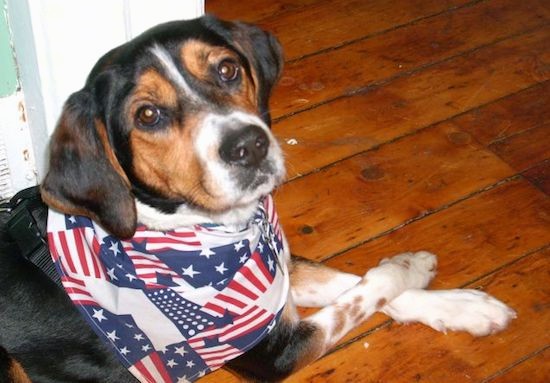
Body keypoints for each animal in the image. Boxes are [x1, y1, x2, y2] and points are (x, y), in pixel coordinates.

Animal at [0, 15, 516, 383]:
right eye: (147, 115)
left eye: (227, 69)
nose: (249, 146)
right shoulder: (278, 350)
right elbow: (367, 289)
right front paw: (407, 267)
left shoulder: (279, 273)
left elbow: (351, 281)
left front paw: (460, 304)